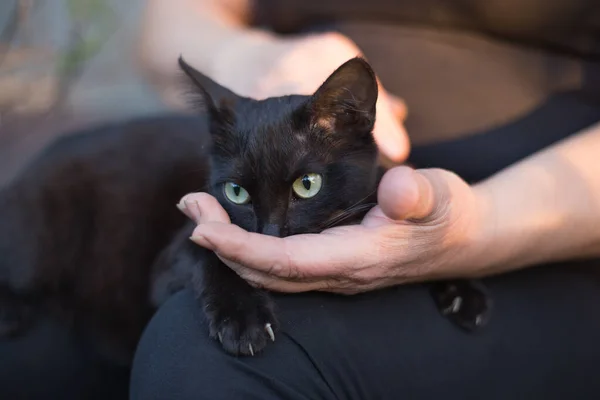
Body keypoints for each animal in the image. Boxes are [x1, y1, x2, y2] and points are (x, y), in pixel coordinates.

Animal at [0, 55, 488, 362]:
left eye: (306, 185)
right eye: (236, 193)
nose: (268, 234)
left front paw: (461, 290)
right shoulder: (168, 261)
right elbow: (210, 255)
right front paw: (244, 320)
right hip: (40, 234)